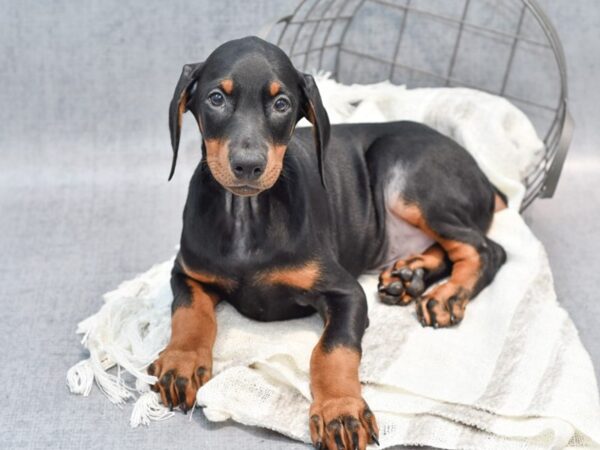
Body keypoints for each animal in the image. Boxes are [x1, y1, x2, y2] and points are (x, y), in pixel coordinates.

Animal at [149, 36, 506, 450]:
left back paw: (446, 295)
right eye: (216, 98)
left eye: (282, 104)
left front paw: (340, 411)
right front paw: (182, 362)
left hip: (407, 176)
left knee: (487, 249)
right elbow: (189, 312)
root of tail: (483, 174)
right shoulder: (187, 272)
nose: (248, 166)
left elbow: (332, 350)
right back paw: (409, 276)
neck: (245, 215)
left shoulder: (346, 292)